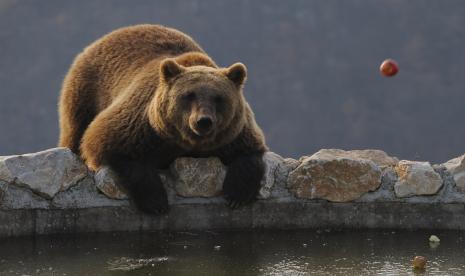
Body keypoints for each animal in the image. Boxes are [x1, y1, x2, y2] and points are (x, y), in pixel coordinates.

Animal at [57, 24, 266, 213]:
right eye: (189, 95)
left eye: (219, 98)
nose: (203, 121)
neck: (188, 142)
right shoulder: (143, 126)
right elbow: (106, 142)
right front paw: (156, 201)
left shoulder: (233, 132)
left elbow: (249, 151)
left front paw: (237, 195)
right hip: (86, 92)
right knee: (75, 132)